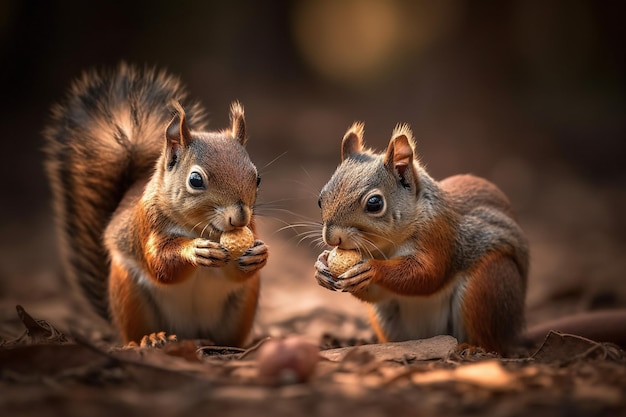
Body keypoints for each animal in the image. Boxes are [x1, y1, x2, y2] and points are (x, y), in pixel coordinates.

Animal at [43, 63, 268, 346]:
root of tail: (189, 333)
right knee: (134, 332)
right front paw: (194, 250)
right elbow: (159, 264)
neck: (202, 229)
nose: (239, 218)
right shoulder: (147, 224)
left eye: (257, 177)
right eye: (195, 180)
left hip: (242, 303)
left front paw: (259, 253)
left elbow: (238, 273)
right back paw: (150, 338)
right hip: (129, 294)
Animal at [312, 120, 528, 352]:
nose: (331, 239)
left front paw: (373, 268)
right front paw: (320, 266)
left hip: (489, 284)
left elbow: (428, 274)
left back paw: (471, 348)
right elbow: (378, 292)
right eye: (320, 199)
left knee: (490, 339)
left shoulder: (438, 234)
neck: (388, 246)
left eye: (374, 204)